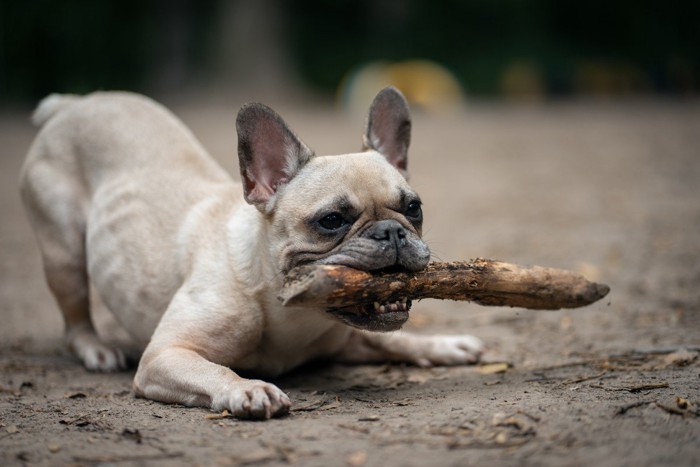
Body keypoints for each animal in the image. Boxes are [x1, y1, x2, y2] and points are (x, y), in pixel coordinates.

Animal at [19, 88, 484, 420]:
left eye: (414, 208)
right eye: (331, 220)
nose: (392, 232)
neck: (286, 309)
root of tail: (76, 104)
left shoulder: (348, 339)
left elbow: (397, 340)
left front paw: (444, 345)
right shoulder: (165, 355)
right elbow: (213, 370)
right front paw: (246, 388)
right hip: (64, 251)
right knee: (74, 311)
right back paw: (94, 349)